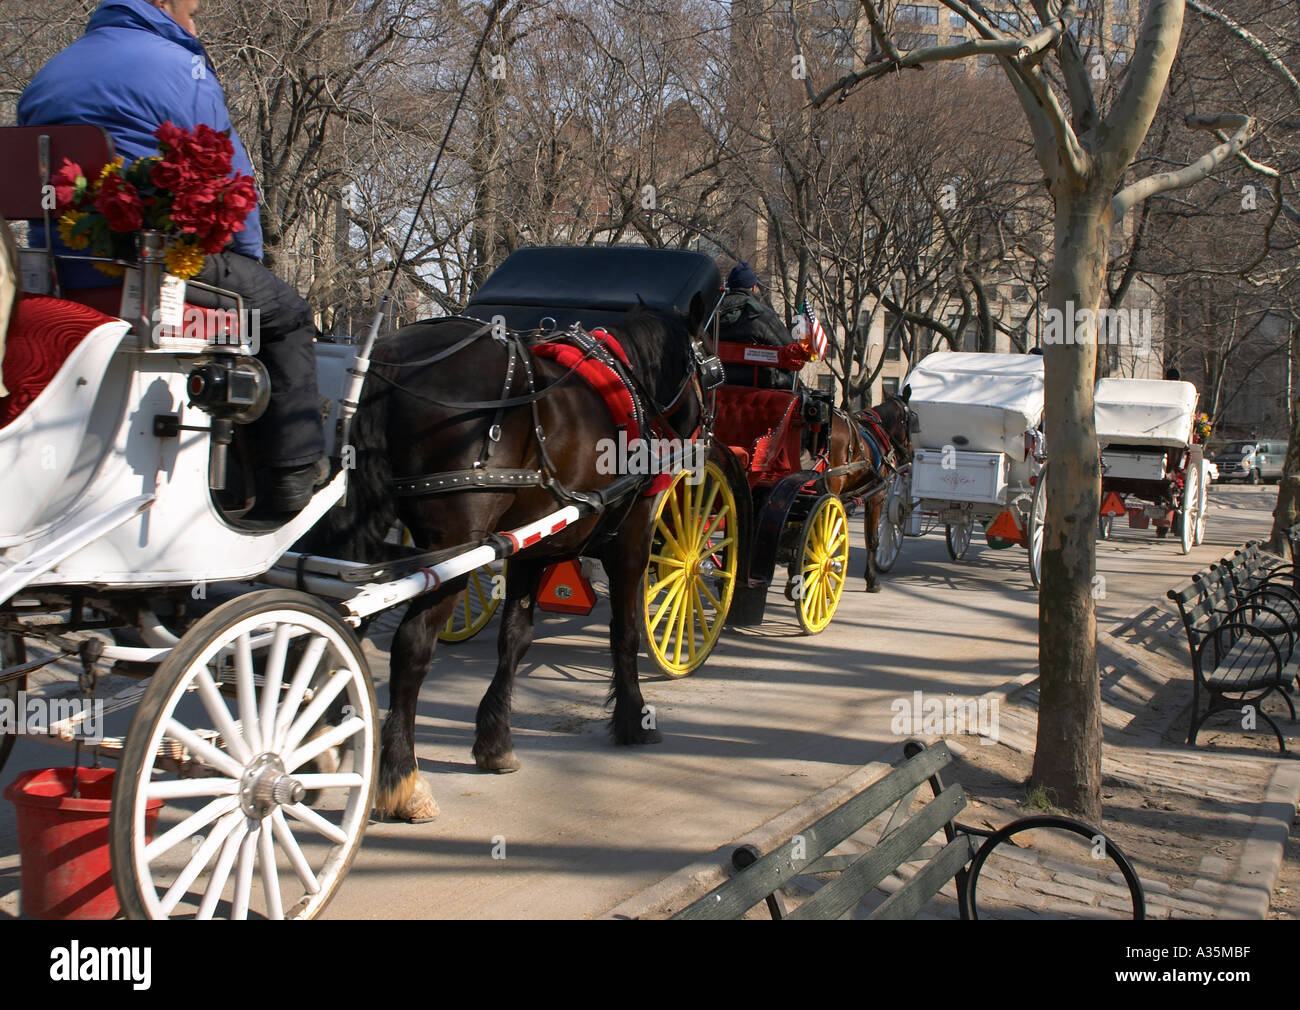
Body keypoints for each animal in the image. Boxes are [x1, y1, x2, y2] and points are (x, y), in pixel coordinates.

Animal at [308, 295, 712, 821]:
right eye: (709, 369)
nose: (704, 437)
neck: (628, 385)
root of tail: (392, 355)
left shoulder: (531, 548)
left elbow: (515, 640)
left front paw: (495, 741)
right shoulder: (633, 539)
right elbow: (624, 633)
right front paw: (633, 718)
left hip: (375, 532)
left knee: (342, 614)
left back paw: (321, 742)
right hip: (451, 551)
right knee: (411, 647)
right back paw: (401, 778)